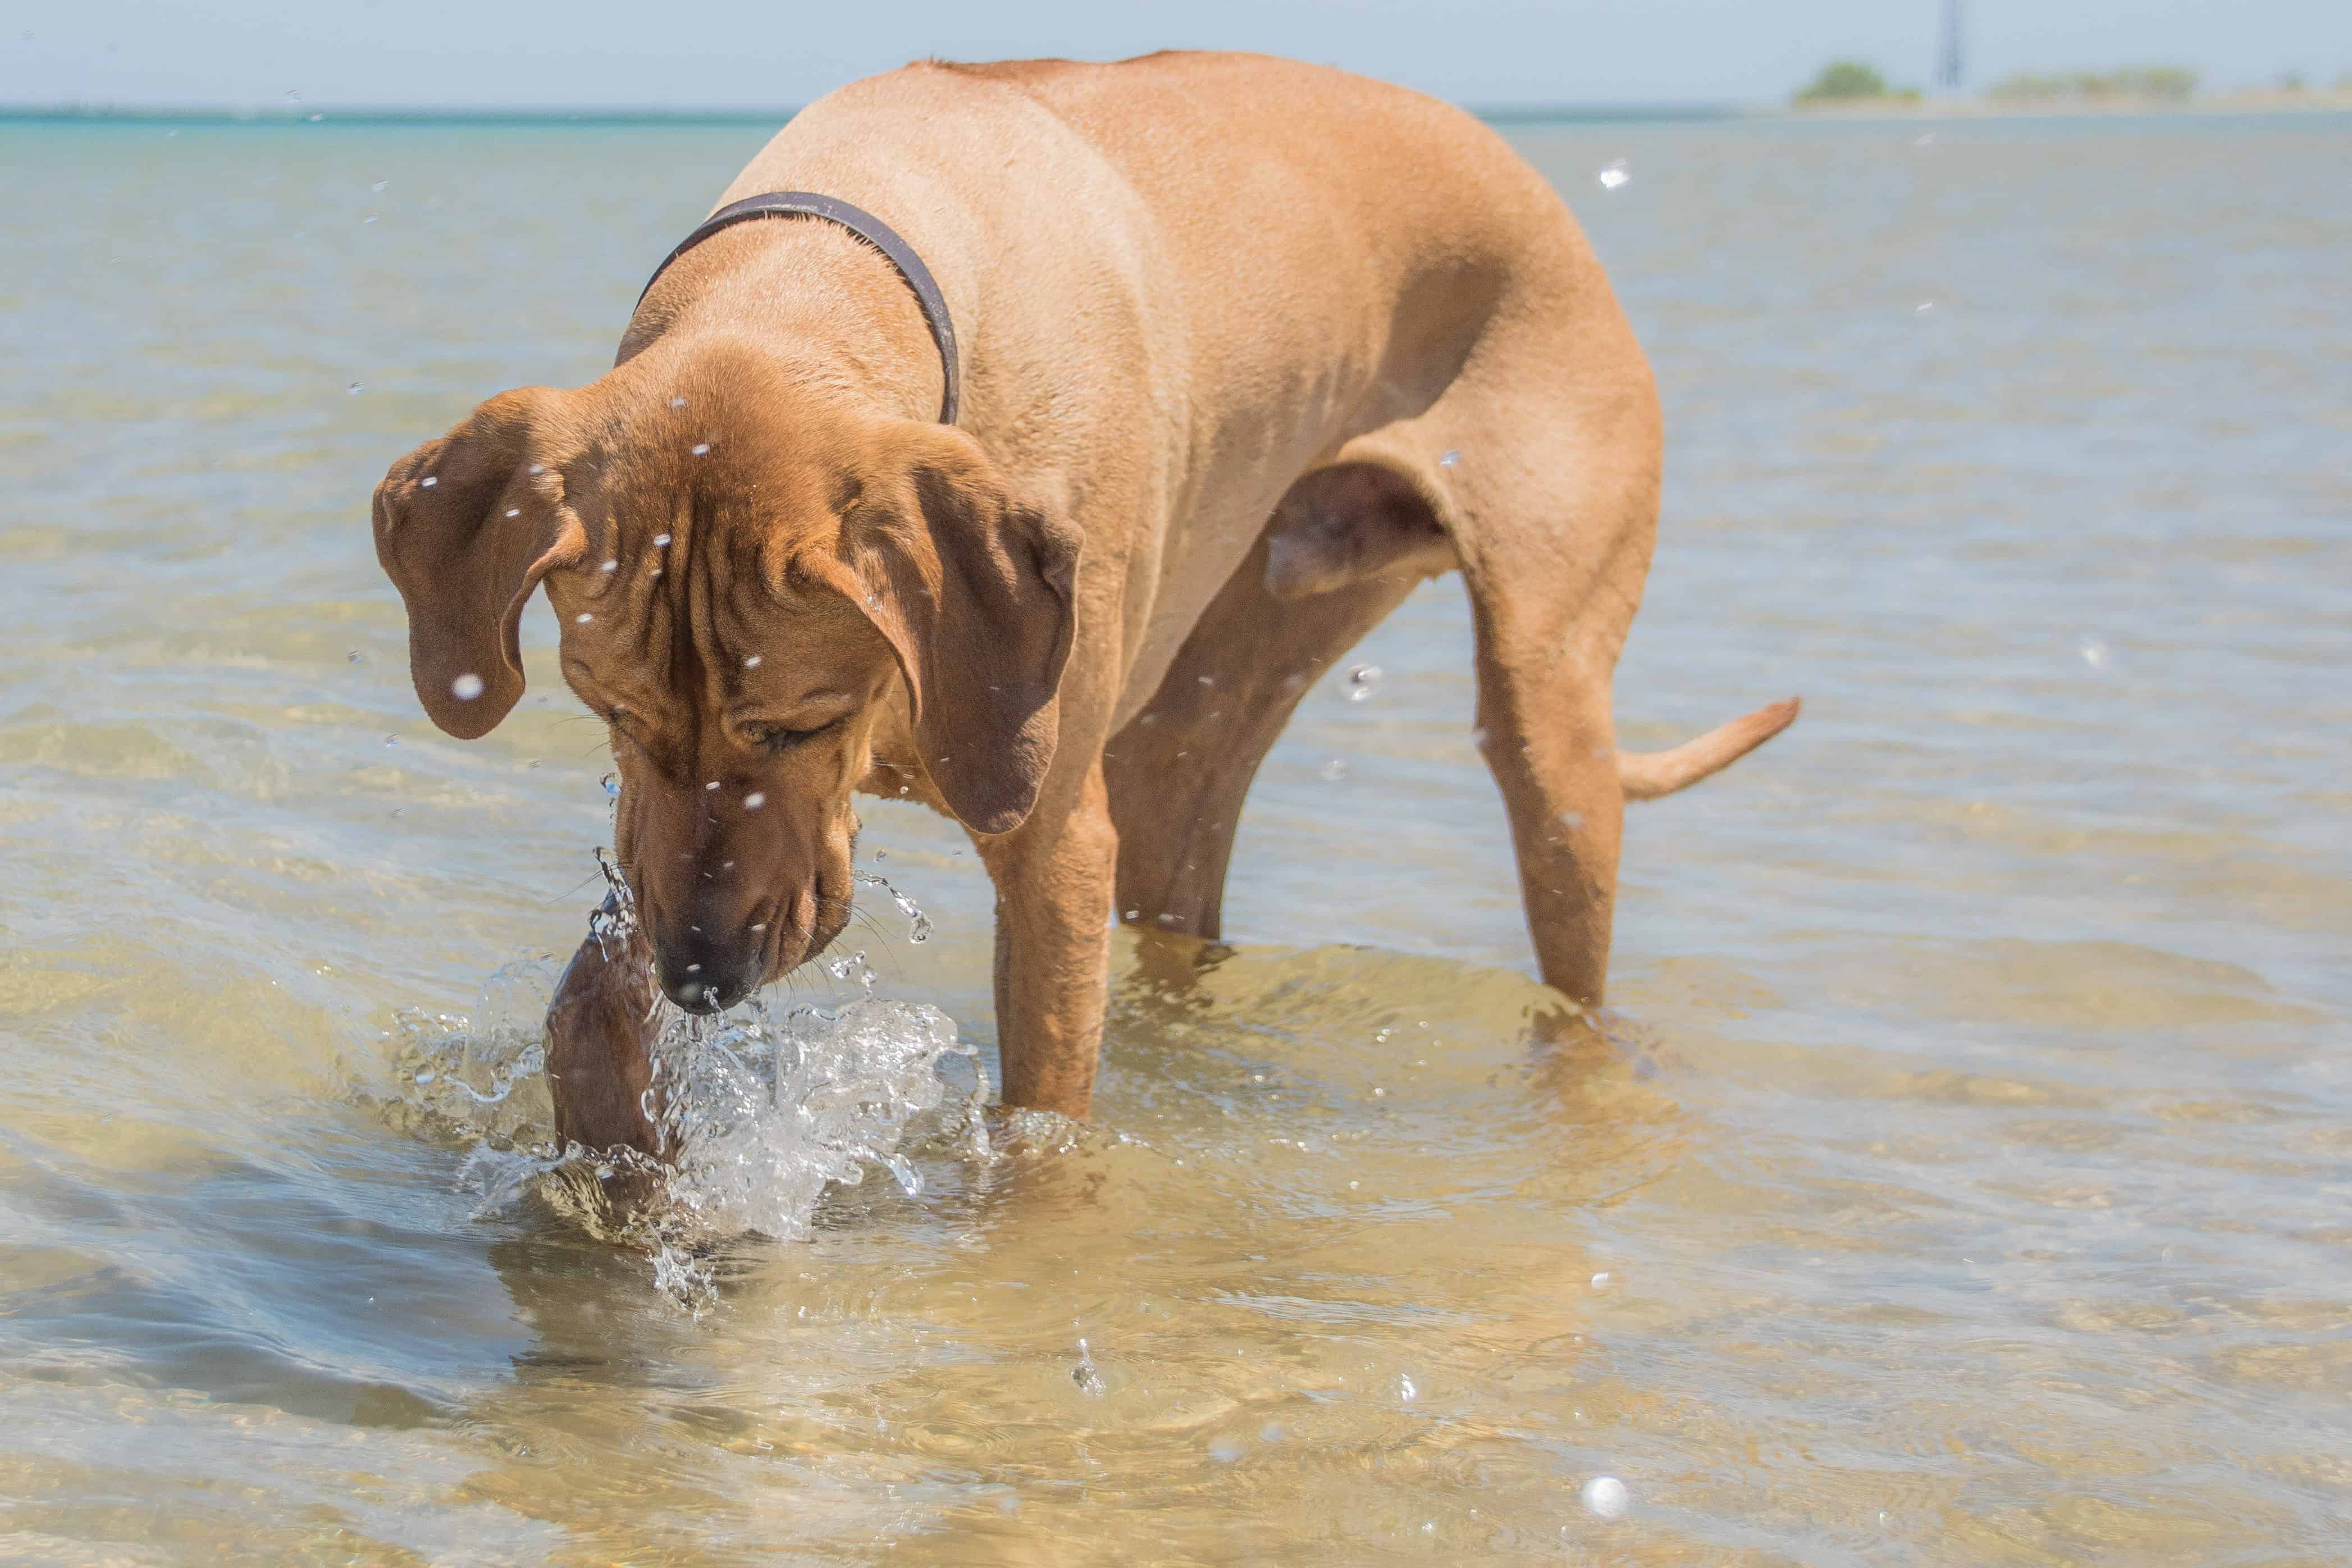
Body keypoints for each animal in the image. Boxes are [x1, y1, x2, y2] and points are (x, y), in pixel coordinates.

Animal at [376, 52, 1787, 1151]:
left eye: (802, 722)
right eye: (613, 715)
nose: (704, 978)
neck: (836, 268)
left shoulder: (1051, 838)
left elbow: (1040, 1132)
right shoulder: (665, 835)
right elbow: (588, 995)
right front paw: (617, 1163)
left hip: (1549, 718)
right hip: (1207, 712)